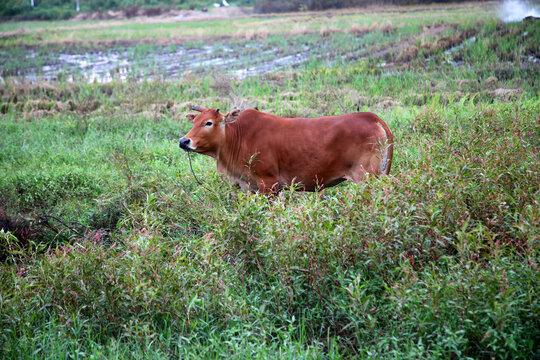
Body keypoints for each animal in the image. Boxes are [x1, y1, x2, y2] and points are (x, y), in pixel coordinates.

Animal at [179, 105, 394, 193]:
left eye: (208, 122)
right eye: (194, 121)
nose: (184, 141)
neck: (238, 138)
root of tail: (371, 117)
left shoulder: (268, 184)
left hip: (366, 177)